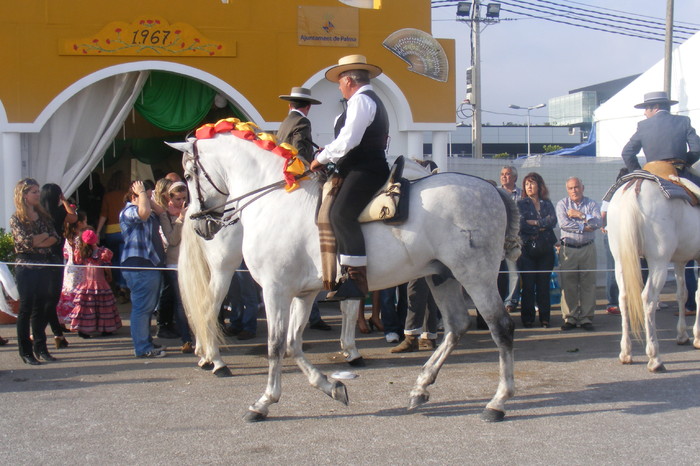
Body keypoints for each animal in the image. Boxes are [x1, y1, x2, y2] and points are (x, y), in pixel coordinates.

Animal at [171, 132, 520, 422]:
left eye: (188, 175)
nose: (200, 224)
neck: (277, 201)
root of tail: (492, 188)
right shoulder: (303, 293)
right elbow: (293, 344)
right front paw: (332, 387)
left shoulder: (276, 289)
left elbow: (275, 345)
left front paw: (264, 402)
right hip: (442, 277)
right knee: (457, 325)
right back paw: (421, 387)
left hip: (475, 275)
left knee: (500, 327)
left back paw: (498, 402)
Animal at [608, 177, 700, 372]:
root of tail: (634, 189)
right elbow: (698, 295)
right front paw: (697, 337)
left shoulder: (680, 261)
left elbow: (682, 294)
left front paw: (682, 335)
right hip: (658, 263)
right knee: (648, 299)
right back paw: (655, 357)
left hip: (620, 261)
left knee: (624, 298)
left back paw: (626, 352)